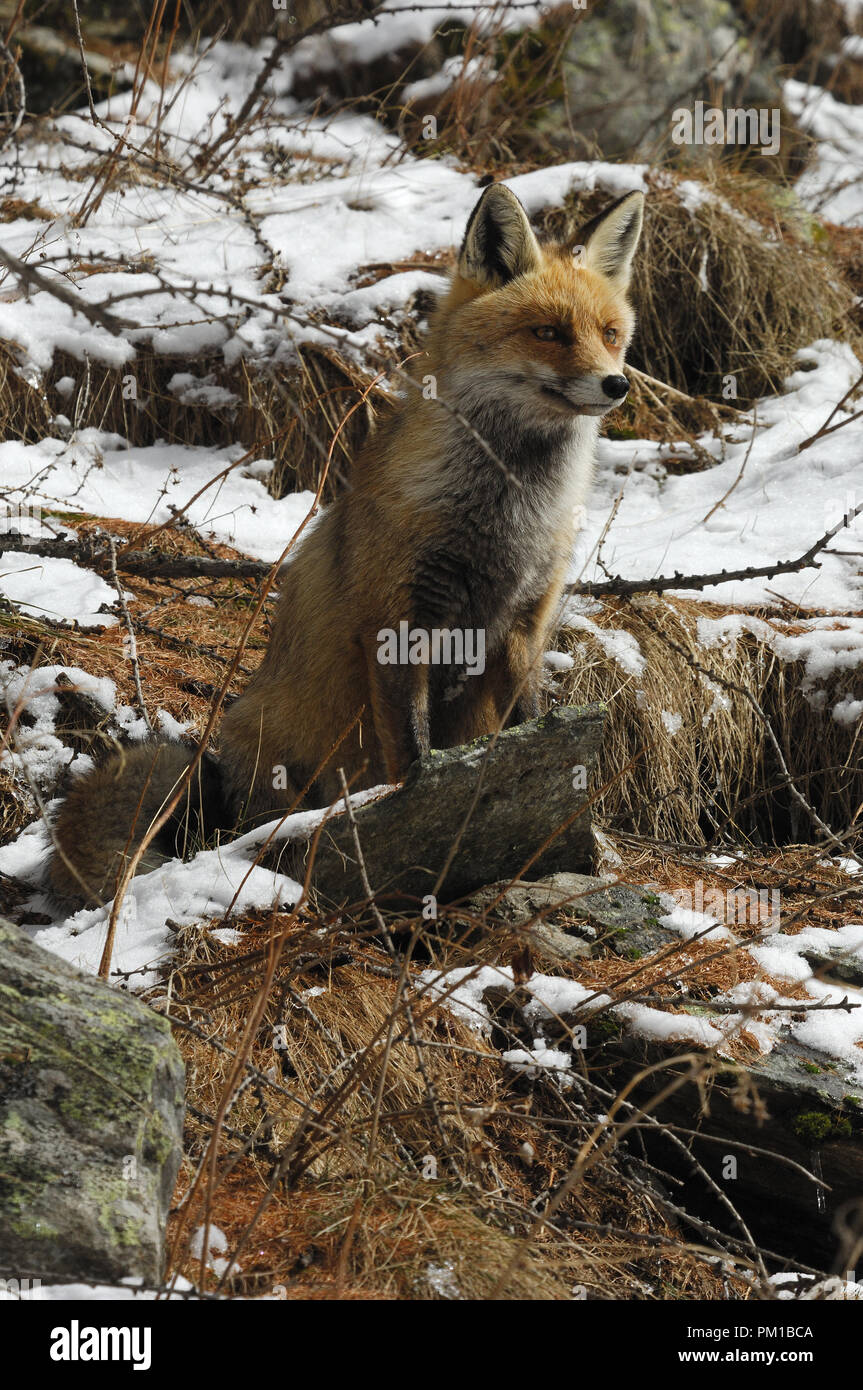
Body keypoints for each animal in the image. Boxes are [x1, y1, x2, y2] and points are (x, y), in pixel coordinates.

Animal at [47, 182, 639, 900]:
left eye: (610, 334)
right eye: (548, 332)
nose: (616, 384)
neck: (508, 508)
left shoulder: (525, 622)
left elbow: (531, 719)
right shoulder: (397, 622)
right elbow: (411, 751)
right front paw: (419, 809)